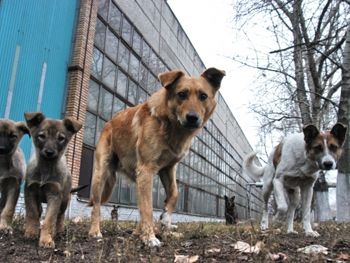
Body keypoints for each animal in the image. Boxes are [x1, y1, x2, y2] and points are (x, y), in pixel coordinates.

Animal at [23, 112, 82, 249]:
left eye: (61, 138)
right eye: (42, 136)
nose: (49, 152)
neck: (46, 167)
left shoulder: (55, 195)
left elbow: (50, 220)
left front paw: (46, 239)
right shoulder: (30, 191)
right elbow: (32, 213)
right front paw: (31, 232)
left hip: (64, 200)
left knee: (60, 216)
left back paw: (59, 230)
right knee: (39, 210)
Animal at [87, 68, 224, 248]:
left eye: (203, 96)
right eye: (182, 94)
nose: (192, 118)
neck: (171, 126)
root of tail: (109, 122)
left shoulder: (168, 169)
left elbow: (174, 193)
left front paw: (166, 218)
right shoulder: (147, 169)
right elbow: (148, 208)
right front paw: (150, 237)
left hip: (134, 177)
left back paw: (138, 231)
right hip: (101, 174)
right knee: (96, 206)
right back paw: (95, 232)